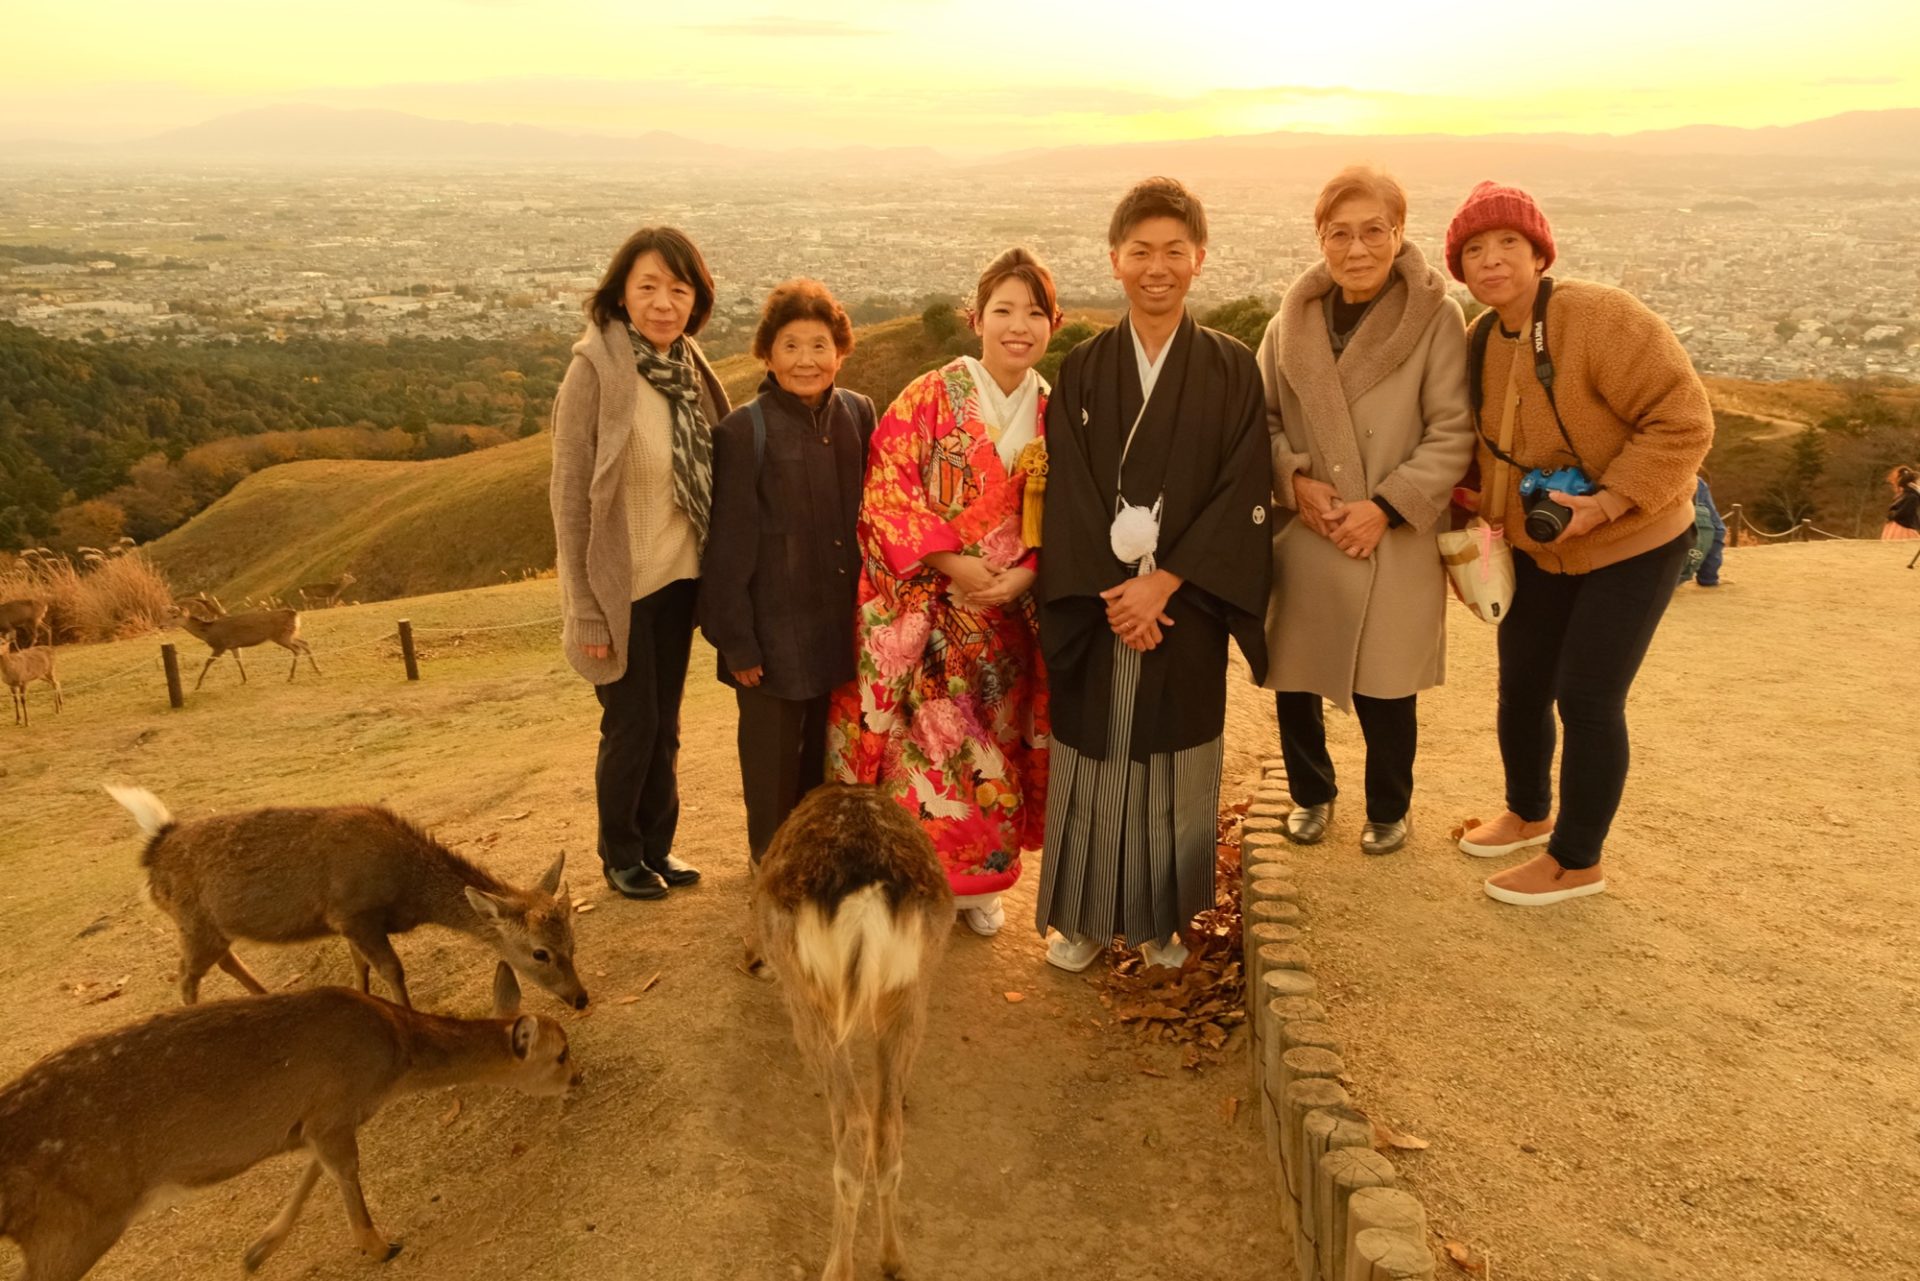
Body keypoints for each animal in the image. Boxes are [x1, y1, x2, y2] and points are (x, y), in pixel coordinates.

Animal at [0, 960, 568, 1281]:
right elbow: (344, 1172)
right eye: (561, 1053)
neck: (395, 1058)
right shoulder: (333, 1110)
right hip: (71, 1229)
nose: (578, 1079)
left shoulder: (317, 1121)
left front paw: (255, 1253)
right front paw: (379, 1247)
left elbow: (315, 1172)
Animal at [103, 787, 583, 1014]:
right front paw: (405, 1012)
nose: (580, 998)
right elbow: (390, 968)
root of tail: (154, 851)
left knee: (221, 961)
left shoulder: (345, 920)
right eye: (540, 953)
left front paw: (362, 997)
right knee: (185, 976)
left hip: (211, 927)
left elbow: (361, 965)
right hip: (192, 920)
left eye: (573, 944)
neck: (407, 890)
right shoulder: (353, 912)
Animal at [172, 595, 318, 687]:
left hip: (281, 636)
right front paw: (244, 679)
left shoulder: (220, 646)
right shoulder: (233, 646)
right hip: (290, 634)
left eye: (174, 615)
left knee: (297, 649)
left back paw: (291, 676)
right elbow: (239, 661)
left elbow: (208, 662)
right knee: (305, 643)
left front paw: (198, 685)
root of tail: (294, 613)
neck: (208, 632)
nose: (166, 626)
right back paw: (317, 669)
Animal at [752, 783, 956, 1281]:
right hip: (913, 988)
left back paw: (836, 1267)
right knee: (888, 1125)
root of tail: (865, 899)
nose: (753, 962)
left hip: (809, 996)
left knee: (856, 1123)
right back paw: (893, 1258)